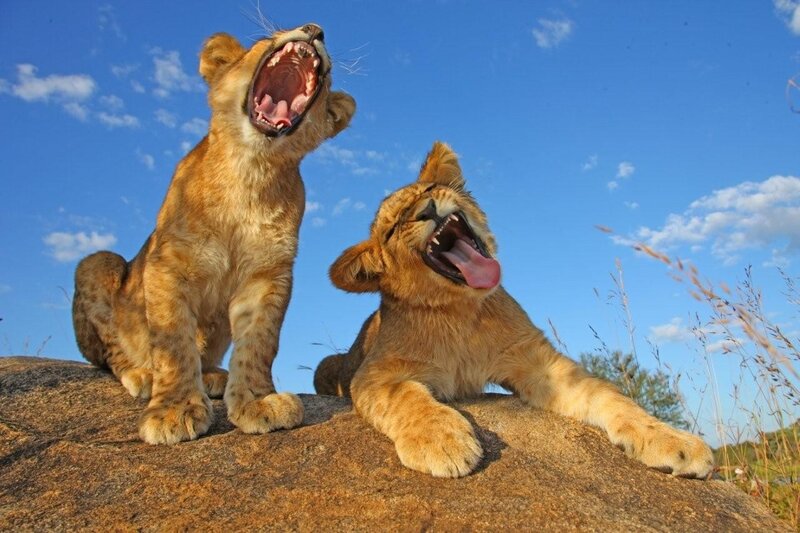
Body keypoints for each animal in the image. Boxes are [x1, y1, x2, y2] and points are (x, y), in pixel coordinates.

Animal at [72, 23, 355, 445]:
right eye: (265, 38)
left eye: (329, 77)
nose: (315, 29)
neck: (250, 172)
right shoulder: (167, 264)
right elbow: (173, 340)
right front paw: (173, 411)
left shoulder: (268, 275)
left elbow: (260, 342)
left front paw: (258, 402)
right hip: (96, 262)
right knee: (112, 353)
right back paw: (142, 373)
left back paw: (212, 377)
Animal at [314, 141, 714, 478]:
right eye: (394, 227)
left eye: (428, 192)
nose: (428, 210)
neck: (460, 310)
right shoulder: (373, 374)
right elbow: (405, 397)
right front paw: (441, 441)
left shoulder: (538, 361)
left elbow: (608, 395)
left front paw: (672, 440)